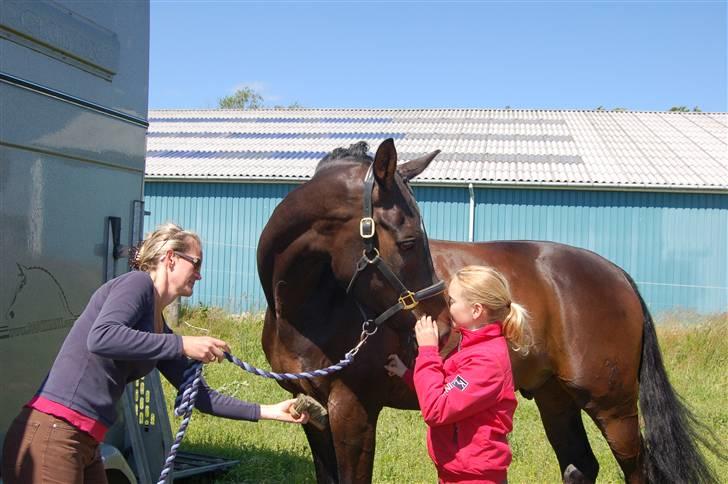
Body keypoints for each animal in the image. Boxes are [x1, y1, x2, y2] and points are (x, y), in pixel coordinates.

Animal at [258, 138, 716, 482]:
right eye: (408, 241)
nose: (442, 327)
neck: (309, 312)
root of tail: (618, 274)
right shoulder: (313, 411)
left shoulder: (354, 411)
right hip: (555, 397)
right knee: (580, 465)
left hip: (613, 406)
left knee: (635, 469)